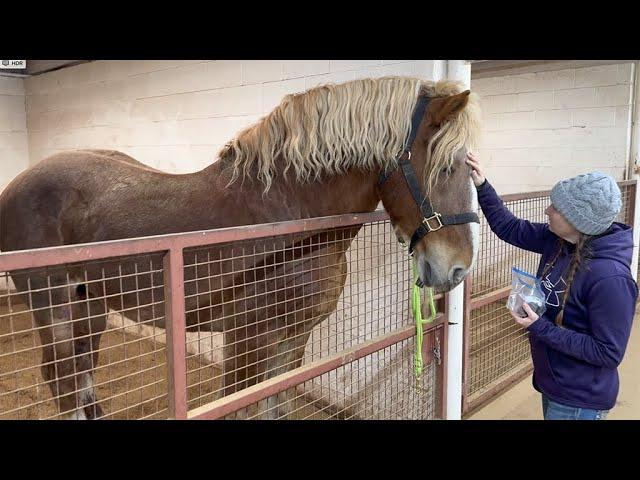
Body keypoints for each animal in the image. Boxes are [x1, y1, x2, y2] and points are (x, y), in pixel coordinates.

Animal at [0, 76, 480, 420]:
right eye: (445, 166)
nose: (457, 269)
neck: (290, 219)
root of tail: (16, 185)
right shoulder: (248, 337)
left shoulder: (293, 338)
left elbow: (277, 406)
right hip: (54, 308)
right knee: (63, 382)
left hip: (91, 306)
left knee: (81, 377)